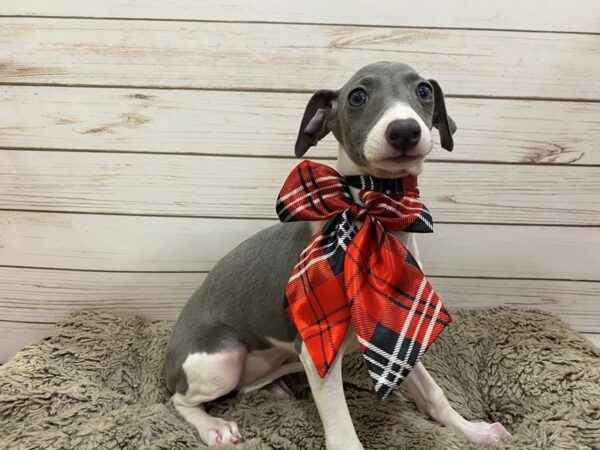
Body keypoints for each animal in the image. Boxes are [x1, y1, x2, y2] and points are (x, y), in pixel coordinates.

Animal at [165, 61, 510, 448]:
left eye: (424, 91)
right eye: (357, 96)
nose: (404, 130)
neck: (374, 220)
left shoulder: (400, 325)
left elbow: (433, 392)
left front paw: (472, 430)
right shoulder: (317, 344)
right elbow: (342, 427)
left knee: (244, 386)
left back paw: (273, 387)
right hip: (221, 359)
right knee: (179, 399)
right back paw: (214, 426)